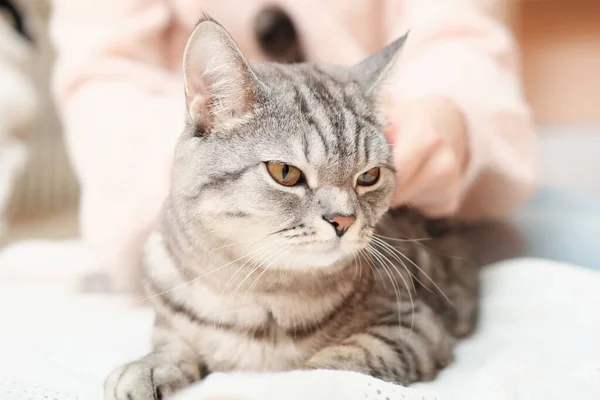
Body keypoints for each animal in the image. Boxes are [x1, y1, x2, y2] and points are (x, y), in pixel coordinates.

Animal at [104, 15, 478, 400]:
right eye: (285, 173)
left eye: (369, 176)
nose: (344, 220)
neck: (249, 294)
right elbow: (173, 342)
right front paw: (149, 366)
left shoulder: (415, 327)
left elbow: (341, 362)